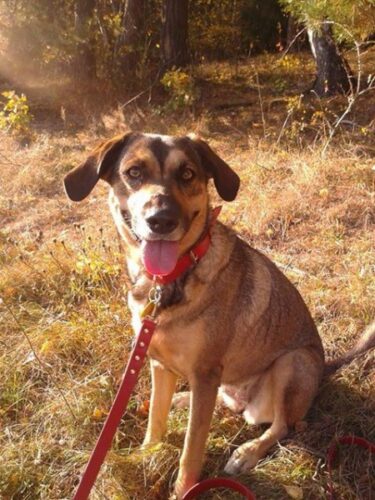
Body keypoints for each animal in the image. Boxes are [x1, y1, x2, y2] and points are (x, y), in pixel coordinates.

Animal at [63, 131, 374, 498]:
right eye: (134, 172)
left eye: (187, 174)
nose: (161, 220)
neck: (170, 281)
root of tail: (324, 367)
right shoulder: (157, 362)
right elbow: (156, 418)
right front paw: (147, 456)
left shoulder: (206, 372)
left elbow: (191, 449)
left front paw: (182, 490)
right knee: (219, 403)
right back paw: (184, 400)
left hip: (293, 362)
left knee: (282, 425)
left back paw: (248, 451)